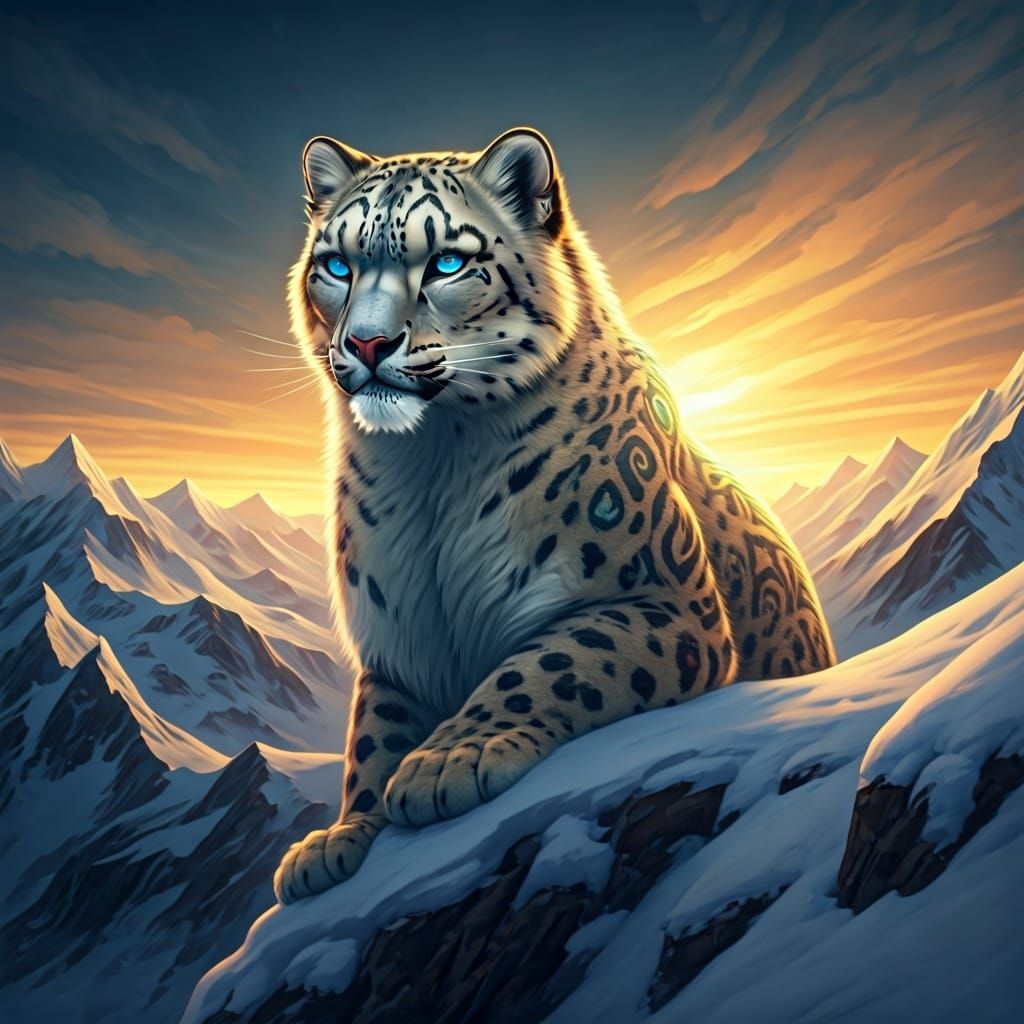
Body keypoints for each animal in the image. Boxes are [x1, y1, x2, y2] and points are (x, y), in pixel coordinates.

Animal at [273, 127, 836, 903]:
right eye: (336, 264)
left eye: (447, 261)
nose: (366, 344)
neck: (432, 466)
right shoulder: (397, 647)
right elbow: (371, 741)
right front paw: (340, 837)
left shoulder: (662, 599)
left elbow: (551, 660)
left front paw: (450, 759)